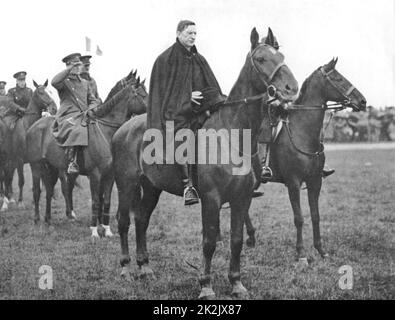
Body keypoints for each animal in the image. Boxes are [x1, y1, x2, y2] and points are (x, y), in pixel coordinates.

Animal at [0, 80, 57, 211]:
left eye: (50, 91)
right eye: (41, 92)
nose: (54, 108)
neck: (28, 129)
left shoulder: (34, 160)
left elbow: (37, 183)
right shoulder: (19, 160)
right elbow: (21, 180)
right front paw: (20, 202)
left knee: (7, 177)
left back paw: (8, 198)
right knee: (3, 177)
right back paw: (4, 201)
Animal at [25, 71, 148, 230]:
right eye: (142, 94)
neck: (107, 132)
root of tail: (33, 126)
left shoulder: (110, 174)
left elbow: (106, 200)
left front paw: (105, 227)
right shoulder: (95, 174)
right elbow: (96, 200)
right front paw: (95, 228)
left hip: (51, 167)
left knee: (50, 190)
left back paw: (48, 220)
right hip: (36, 165)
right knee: (37, 191)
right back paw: (38, 219)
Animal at [113, 28, 298, 300]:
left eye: (282, 56)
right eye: (261, 59)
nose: (291, 89)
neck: (231, 135)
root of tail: (123, 129)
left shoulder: (242, 198)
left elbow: (236, 241)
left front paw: (236, 284)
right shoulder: (211, 199)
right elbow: (209, 242)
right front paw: (206, 285)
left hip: (152, 188)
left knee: (142, 221)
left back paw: (145, 268)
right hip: (126, 185)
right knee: (124, 221)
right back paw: (126, 269)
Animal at [248, 57, 368, 264]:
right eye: (338, 78)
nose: (362, 101)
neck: (302, 132)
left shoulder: (315, 182)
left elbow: (315, 216)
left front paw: (321, 250)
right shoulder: (294, 183)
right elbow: (299, 218)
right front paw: (301, 254)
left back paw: (250, 237)